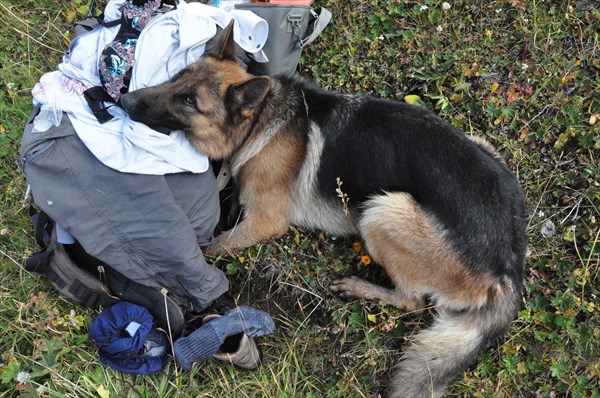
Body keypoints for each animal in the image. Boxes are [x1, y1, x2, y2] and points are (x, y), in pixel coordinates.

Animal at [120, 21, 524, 398]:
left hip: (383, 210)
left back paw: (359, 288)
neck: (260, 119)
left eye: (190, 101)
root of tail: (507, 268)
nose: (124, 101)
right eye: (177, 78)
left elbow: (209, 248)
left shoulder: (264, 223)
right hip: (483, 147)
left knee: (412, 301)